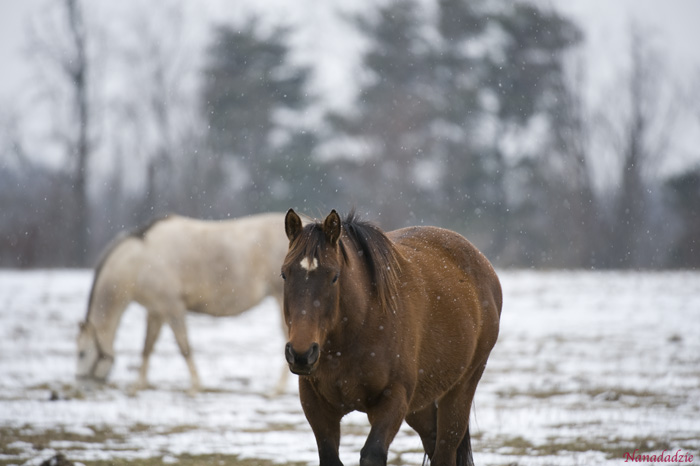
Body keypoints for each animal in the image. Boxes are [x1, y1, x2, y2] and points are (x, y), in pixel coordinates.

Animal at [76, 212, 289, 395]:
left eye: (81, 353)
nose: (83, 385)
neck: (137, 263)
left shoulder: (173, 308)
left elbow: (184, 347)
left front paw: (195, 385)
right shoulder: (156, 311)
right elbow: (147, 346)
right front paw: (139, 383)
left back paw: (278, 389)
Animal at [281, 209, 502, 466]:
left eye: (334, 277)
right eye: (284, 274)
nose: (301, 354)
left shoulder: (393, 398)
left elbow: (372, 454)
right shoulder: (315, 404)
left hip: (461, 390)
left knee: (445, 451)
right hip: (421, 403)